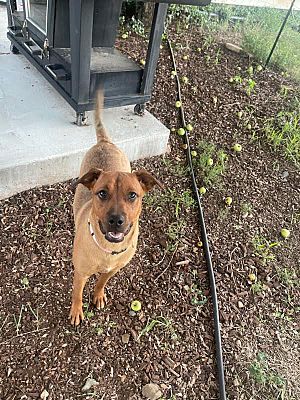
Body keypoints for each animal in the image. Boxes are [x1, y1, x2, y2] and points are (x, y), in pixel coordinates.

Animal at [69, 91, 162, 324]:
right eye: (102, 193)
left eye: (132, 195)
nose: (116, 220)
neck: (107, 249)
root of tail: (105, 142)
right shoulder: (80, 273)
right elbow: (77, 293)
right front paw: (76, 311)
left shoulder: (114, 269)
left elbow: (101, 281)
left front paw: (98, 295)